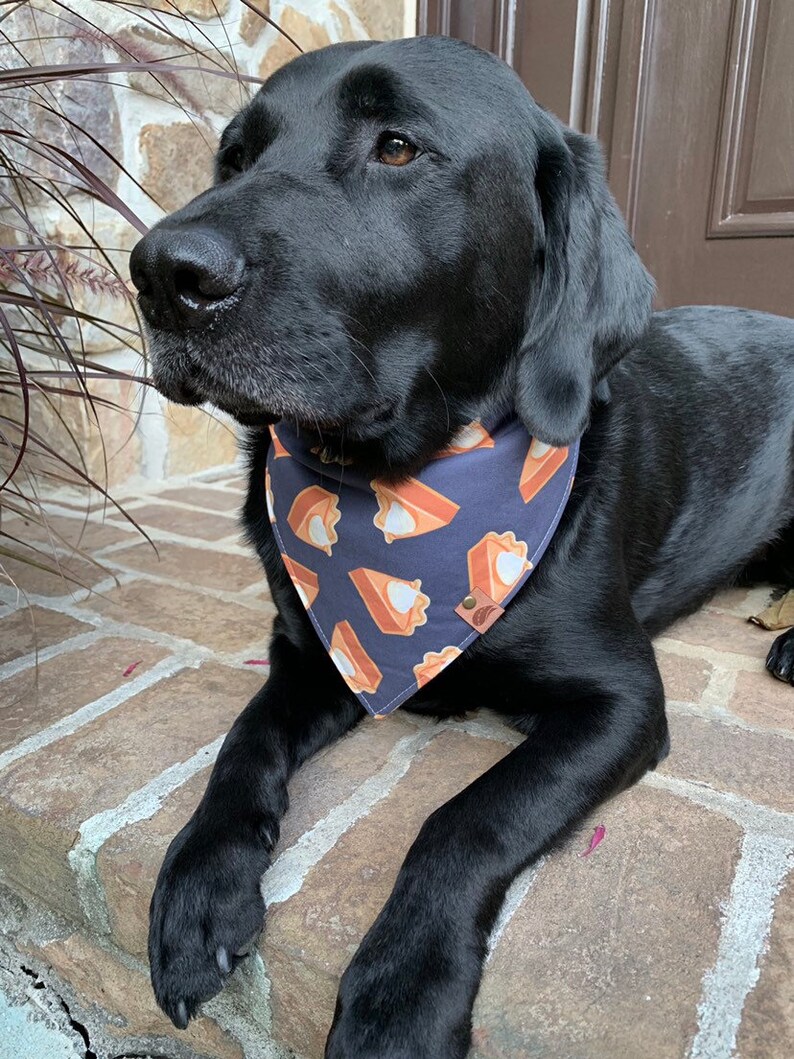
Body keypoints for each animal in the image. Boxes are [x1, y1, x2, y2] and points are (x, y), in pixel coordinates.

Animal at [130, 35, 794, 1059]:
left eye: (398, 147)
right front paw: (200, 887)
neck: (397, 491)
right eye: (233, 159)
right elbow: (241, 745)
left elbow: (468, 816)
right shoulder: (312, 656)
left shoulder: (620, 701)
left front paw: (401, 987)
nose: (162, 273)